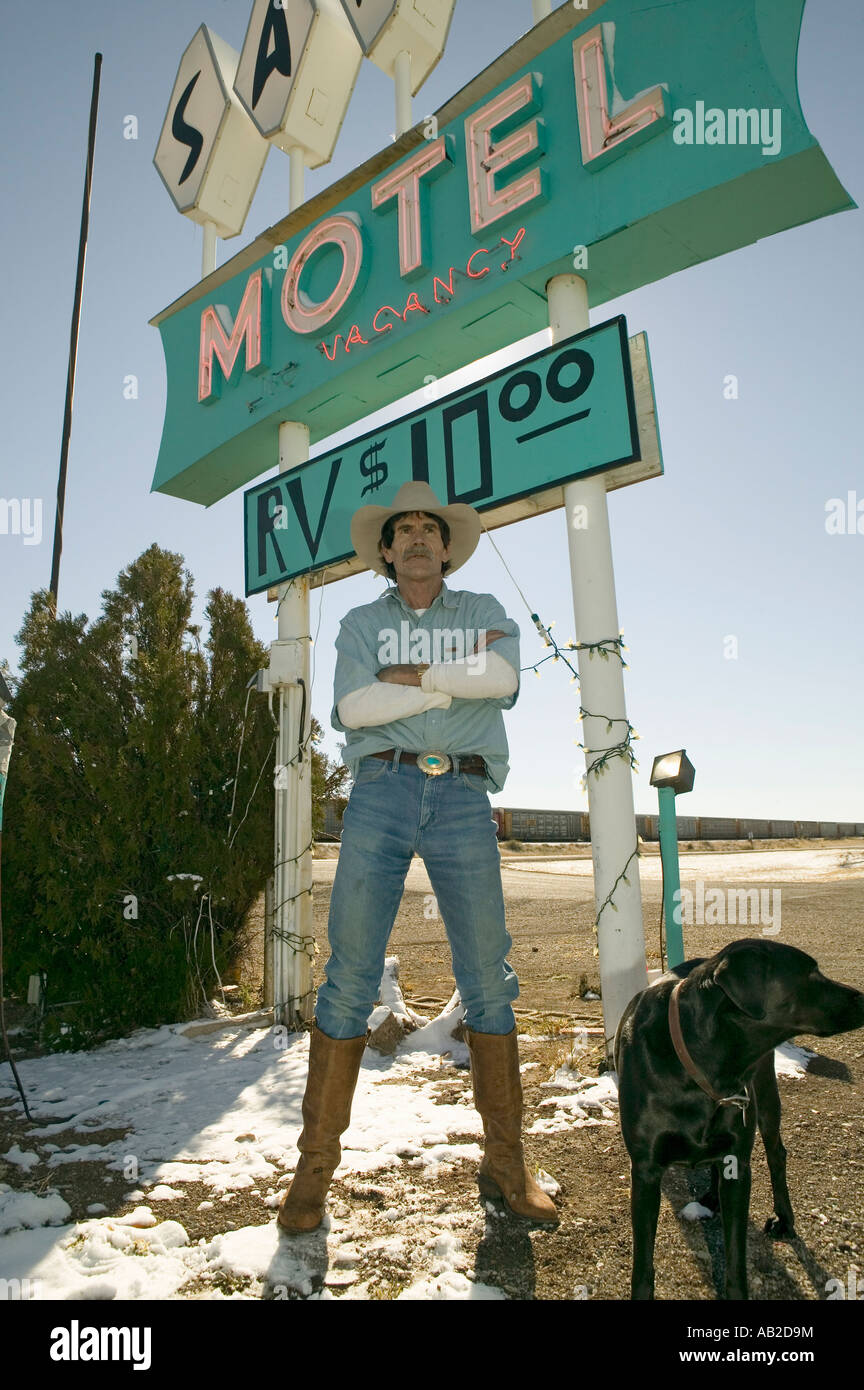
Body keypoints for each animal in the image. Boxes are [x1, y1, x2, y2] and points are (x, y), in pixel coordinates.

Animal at [616, 939, 864, 1295]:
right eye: (811, 973)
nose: (863, 997)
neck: (701, 1060)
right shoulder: (646, 1171)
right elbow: (643, 1264)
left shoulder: (738, 1161)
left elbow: (736, 1256)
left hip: (766, 1096)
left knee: (776, 1153)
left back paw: (784, 1219)